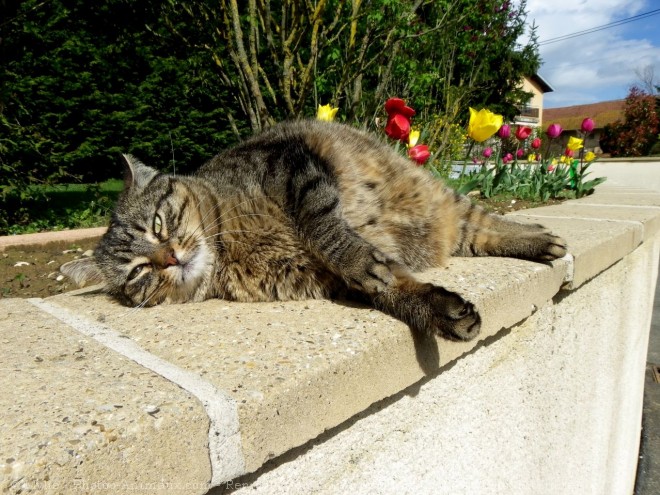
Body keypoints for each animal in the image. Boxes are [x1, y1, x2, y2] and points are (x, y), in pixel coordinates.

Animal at [62, 121, 568, 342]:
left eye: (158, 223)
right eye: (138, 273)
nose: (169, 258)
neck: (231, 247)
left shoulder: (292, 166)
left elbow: (322, 224)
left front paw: (356, 255)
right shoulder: (329, 282)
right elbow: (393, 288)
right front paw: (436, 308)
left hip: (442, 200)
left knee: (487, 219)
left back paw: (541, 238)